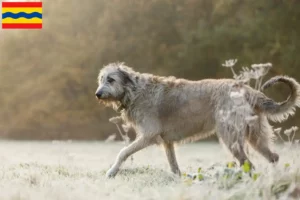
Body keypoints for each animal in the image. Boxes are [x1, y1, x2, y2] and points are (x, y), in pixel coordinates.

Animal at [95, 62, 300, 178]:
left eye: (111, 79)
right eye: (101, 79)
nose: (97, 94)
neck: (134, 91)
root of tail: (246, 89)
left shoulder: (148, 135)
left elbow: (123, 152)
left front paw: (111, 172)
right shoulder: (167, 142)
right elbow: (173, 165)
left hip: (231, 138)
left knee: (248, 163)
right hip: (255, 136)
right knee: (273, 157)